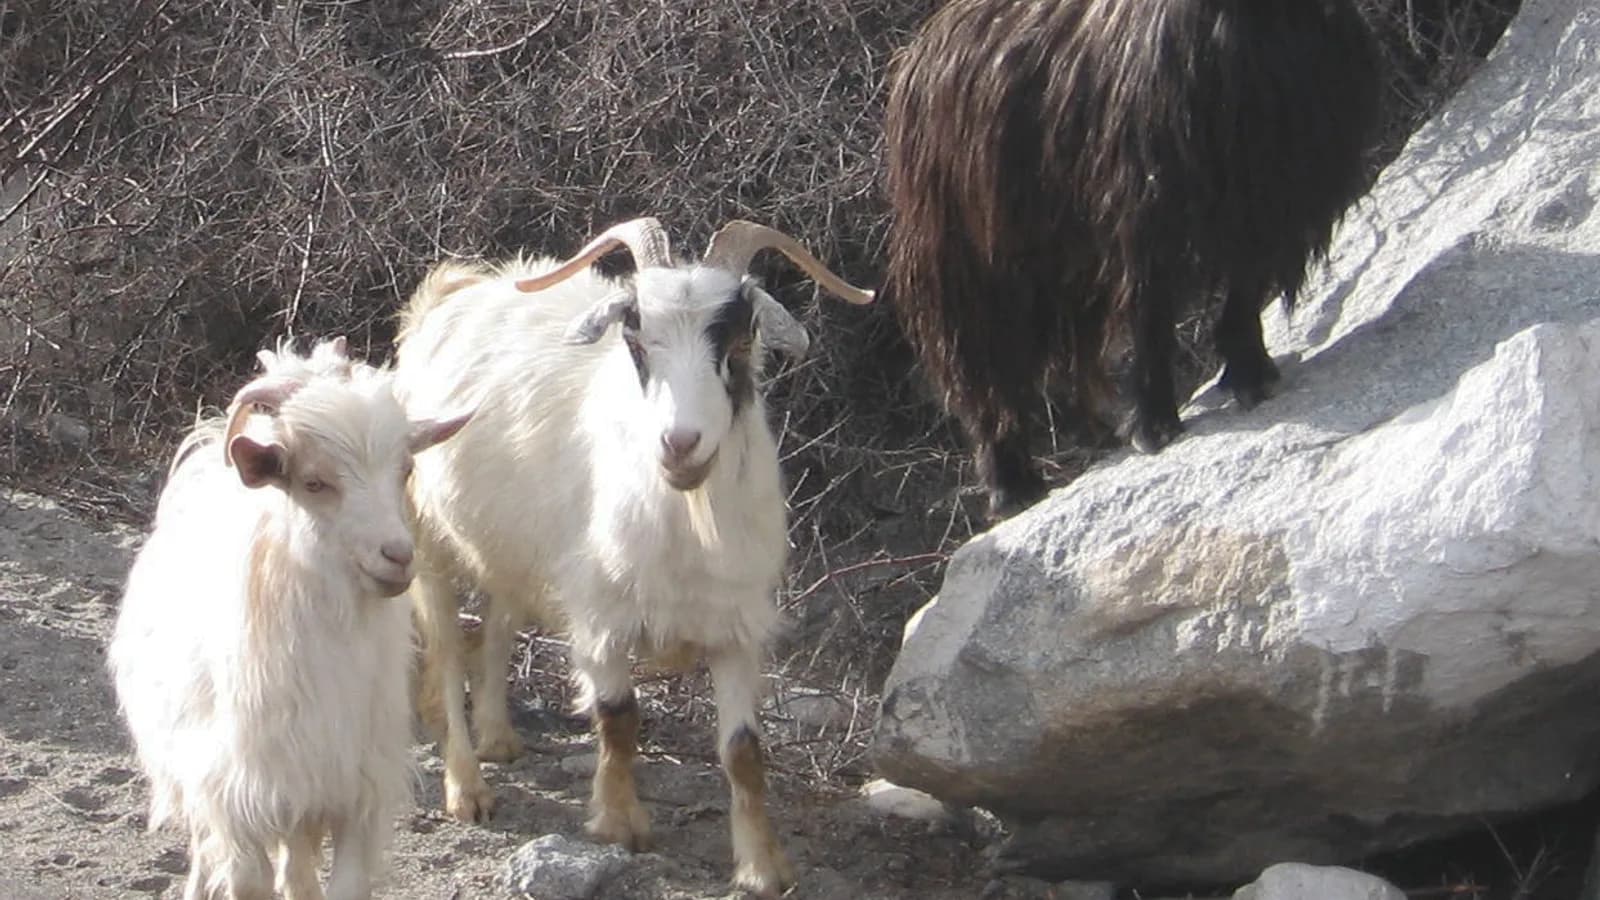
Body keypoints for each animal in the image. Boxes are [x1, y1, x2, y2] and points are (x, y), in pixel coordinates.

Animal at [109, 340, 470, 900]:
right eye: (314, 481)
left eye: (405, 470)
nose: (397, 556)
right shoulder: (236, 797)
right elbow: (244, 879)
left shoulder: (352, 791)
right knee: (206, 852)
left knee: (296, 870)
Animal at [393, 218, 873, 896]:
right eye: (636, 338)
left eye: (739, 339)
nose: (680, 444)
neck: (686, 517)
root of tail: (455, 291)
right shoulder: (601, 617)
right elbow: (618, 719)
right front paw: (619, 825)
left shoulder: (737, 627)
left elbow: (743, 751)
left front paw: (762, 864)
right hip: (425, 535)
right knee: (444, 647)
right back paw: (469, 789)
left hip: (515, 550)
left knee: (497, 623)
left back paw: (499, 737)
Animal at [884, 0, 1384, 520]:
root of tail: (917, 55)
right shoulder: (1146, 213)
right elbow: (1151, 315)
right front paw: (1153, 425)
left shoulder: (1274, 198)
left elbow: (1244, 293)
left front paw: (1250, 374)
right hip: (965, 260)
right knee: (982, 367)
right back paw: (1011, 485)